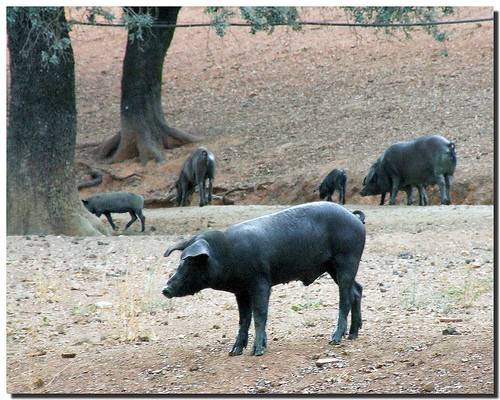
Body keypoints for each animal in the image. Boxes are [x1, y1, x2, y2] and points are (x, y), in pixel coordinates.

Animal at [162, 203, 366, 356]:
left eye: (191, 262)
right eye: (181, 261)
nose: (165, 289)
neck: (226, 254)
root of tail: (355, 217)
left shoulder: (260, 282)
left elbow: (259, 315)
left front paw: (257, 351)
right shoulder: (241, 291)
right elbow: (243, 318)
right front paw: (234, 352)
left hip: (347, 259)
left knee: (345, 298)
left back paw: (335, 339)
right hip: (332, 267)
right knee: (357, 290)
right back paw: (353, 335)